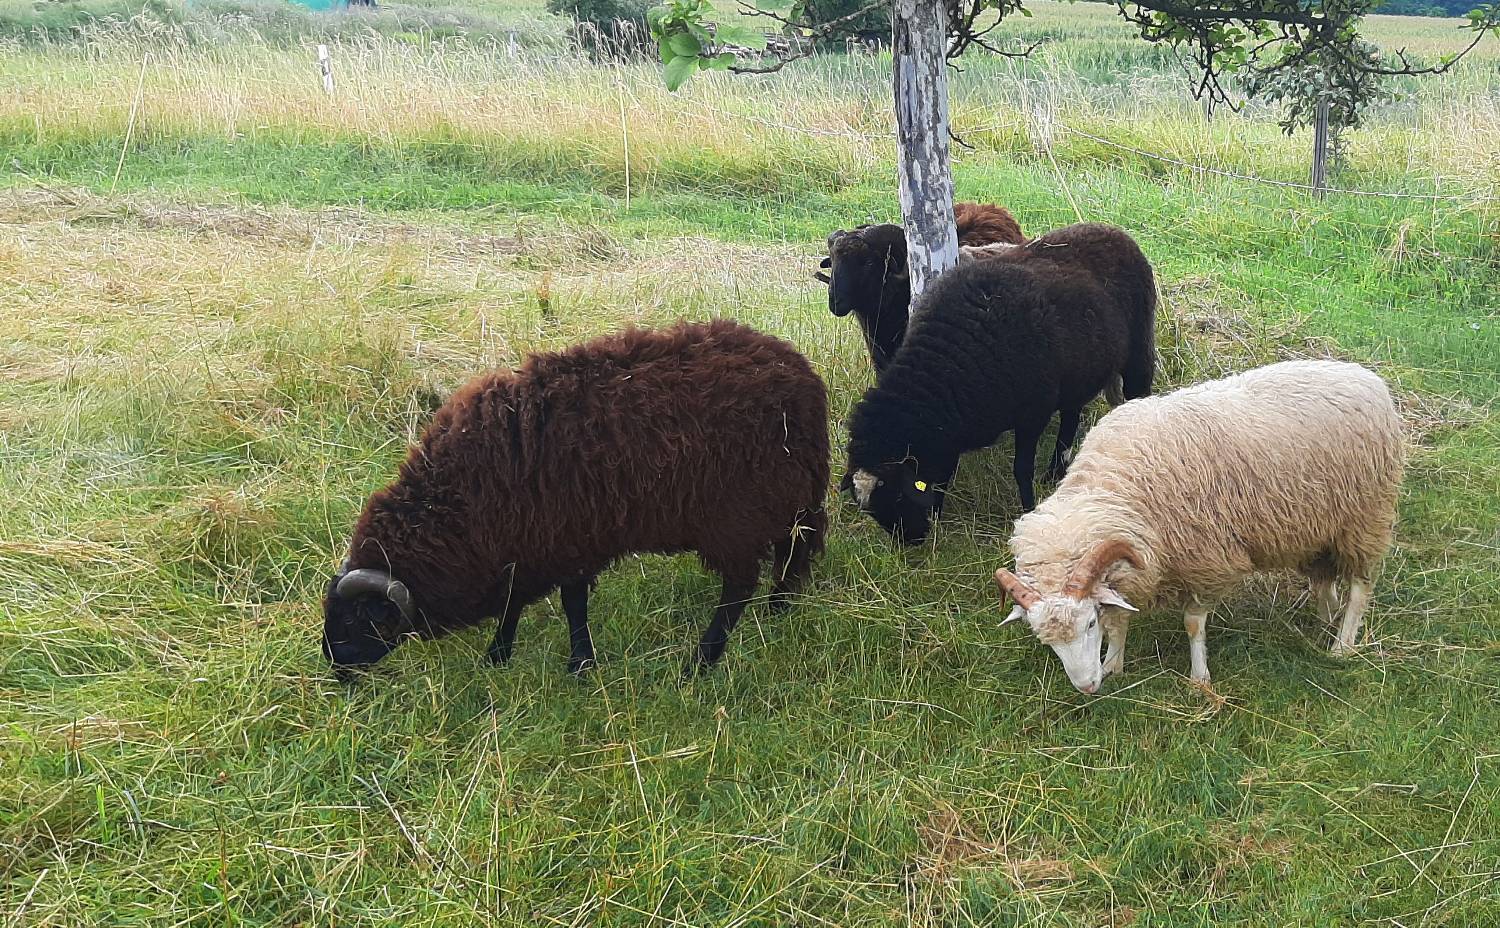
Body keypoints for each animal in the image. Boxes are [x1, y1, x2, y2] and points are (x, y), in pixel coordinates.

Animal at [322, 319, 834, 674]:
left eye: (356, 619)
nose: (335, 668)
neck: (457, 506)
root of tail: (802, 376)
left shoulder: (569, 542)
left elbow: (569, 604)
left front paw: (579, 664)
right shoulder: (525, 548)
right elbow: (514, 603)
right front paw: (498, 656)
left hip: (739, 516)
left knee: (737, 589)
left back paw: (702, 660)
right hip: (789, 501)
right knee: (792, 551)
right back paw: (778, 608)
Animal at [846, 223, 1158, 545]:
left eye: (896, 495)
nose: (912, 541)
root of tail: (1114, 230)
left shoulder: (1033, 413)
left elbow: (1021, 469)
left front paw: (1029, 509)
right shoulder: (950, 428)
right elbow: (943, 475)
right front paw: (938, 513)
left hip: (1138, 348)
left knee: (1137, 391)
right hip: (1077, 375)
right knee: (1071, 417)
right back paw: (1054, 472)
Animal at [996, 359, 1404, 692]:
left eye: (1089, 626)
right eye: (1048, 642)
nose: (1087, 687)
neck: (1116, 487)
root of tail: (1368, 378)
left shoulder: (1207, 560)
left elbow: (1193, 624)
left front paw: (1199, 678)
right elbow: (1120, 619)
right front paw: (1113, 663)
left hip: (1366, 518)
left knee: (1360, 587)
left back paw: (1342, 645)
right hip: (1320, 527)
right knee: (1324, 575)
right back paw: (1325, 618)